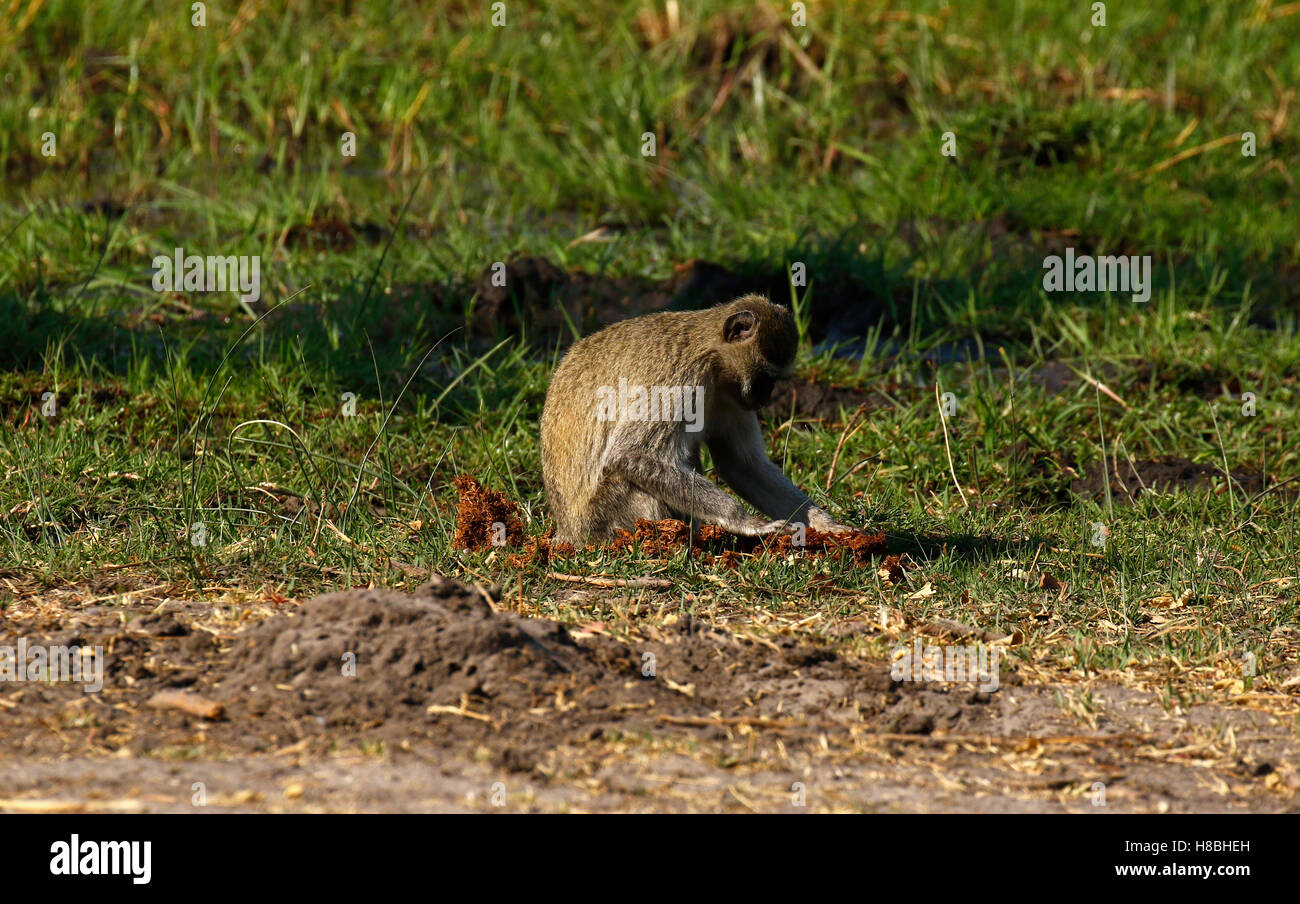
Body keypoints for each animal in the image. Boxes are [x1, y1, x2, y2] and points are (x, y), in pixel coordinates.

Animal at [540, 299, 857, 543]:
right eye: (765, 378)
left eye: (774, 381)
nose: (765, 399)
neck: (714, 359)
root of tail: (570, 532)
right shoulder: (679, 377)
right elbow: (629, 454)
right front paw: (744, 522)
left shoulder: (732, 398)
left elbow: (742, 466)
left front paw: (822, 522)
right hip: (606, 516)